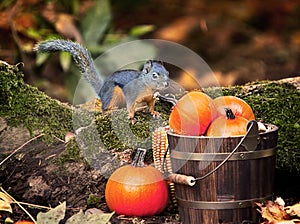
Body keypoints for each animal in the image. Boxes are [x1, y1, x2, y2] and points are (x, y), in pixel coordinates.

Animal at [34, 39, 170, 121]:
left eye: (168, 73)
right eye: (154, 75)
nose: (166, 84)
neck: (148, 87)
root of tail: (101, 90)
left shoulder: (151, 98)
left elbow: (151, 105)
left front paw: (154, 112)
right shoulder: (132, 95)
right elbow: (130, 106)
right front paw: (131, 116)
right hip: (112, 94)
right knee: (104, 108)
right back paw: (110, 110)